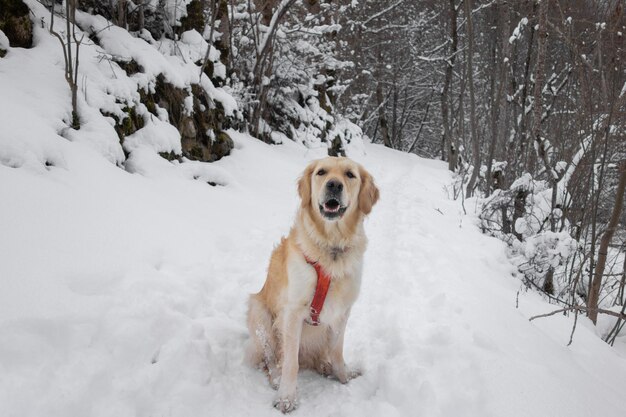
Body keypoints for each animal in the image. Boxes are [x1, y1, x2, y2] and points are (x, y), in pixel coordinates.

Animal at [246, 157, 378, 412]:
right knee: (271, 360)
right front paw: (287, 397)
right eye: (321, 172)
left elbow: (337, 351)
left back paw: (326, 366)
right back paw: (277, 378)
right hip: (259, 312)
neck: (331, 249)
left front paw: (343, 376)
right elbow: (291, 363)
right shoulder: (293, 312)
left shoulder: (342, 312)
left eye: (350, 174)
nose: (334, 185)